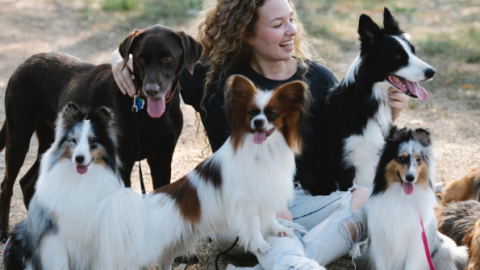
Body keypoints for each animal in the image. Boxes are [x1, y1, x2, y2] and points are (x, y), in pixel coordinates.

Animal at [358, 126, 466, 270]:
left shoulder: (416, 246)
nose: (410, 178)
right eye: (401, 158)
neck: (403, 198)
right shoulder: (380, 244)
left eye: (418, 159)